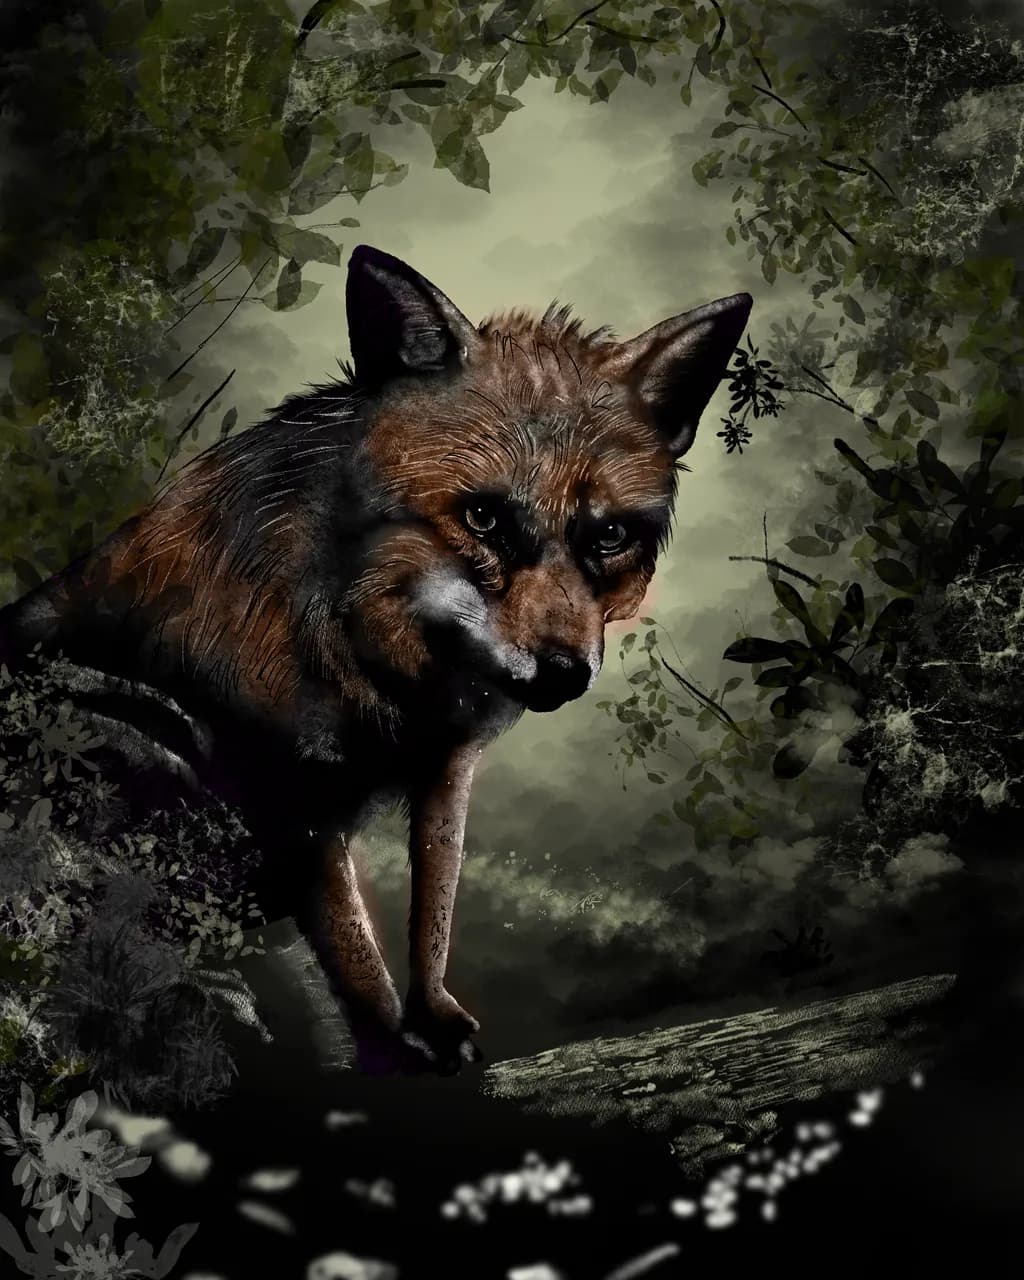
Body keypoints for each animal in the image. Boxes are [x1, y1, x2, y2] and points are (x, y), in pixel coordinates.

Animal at [0, 246, 751, 1073]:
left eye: (610, 536)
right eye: (482, 518)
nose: (562, 671)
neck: (386, 665)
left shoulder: (446, 769)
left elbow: (433, 913)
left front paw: (434, 1017)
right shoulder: (289, 794)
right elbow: (353, 953)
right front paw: (391, 1053)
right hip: (141, 744)